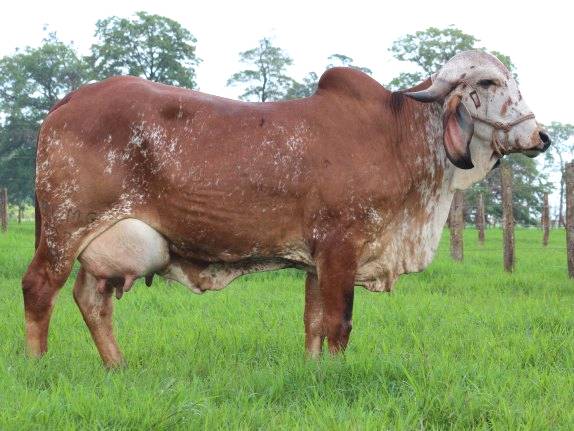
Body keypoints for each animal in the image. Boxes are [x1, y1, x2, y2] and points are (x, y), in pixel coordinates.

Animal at [23, 50, 552, 368]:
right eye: (489, 82)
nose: (541, 136)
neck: (397, 138)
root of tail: (70, 99)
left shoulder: (319, 260)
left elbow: (314, 323)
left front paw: (316, 373)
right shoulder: (341, 248)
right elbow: (339, 323)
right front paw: (337, 374)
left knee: (92, 300)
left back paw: (117, 366)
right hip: (65, 228)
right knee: (39, 288)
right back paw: (37, 365)